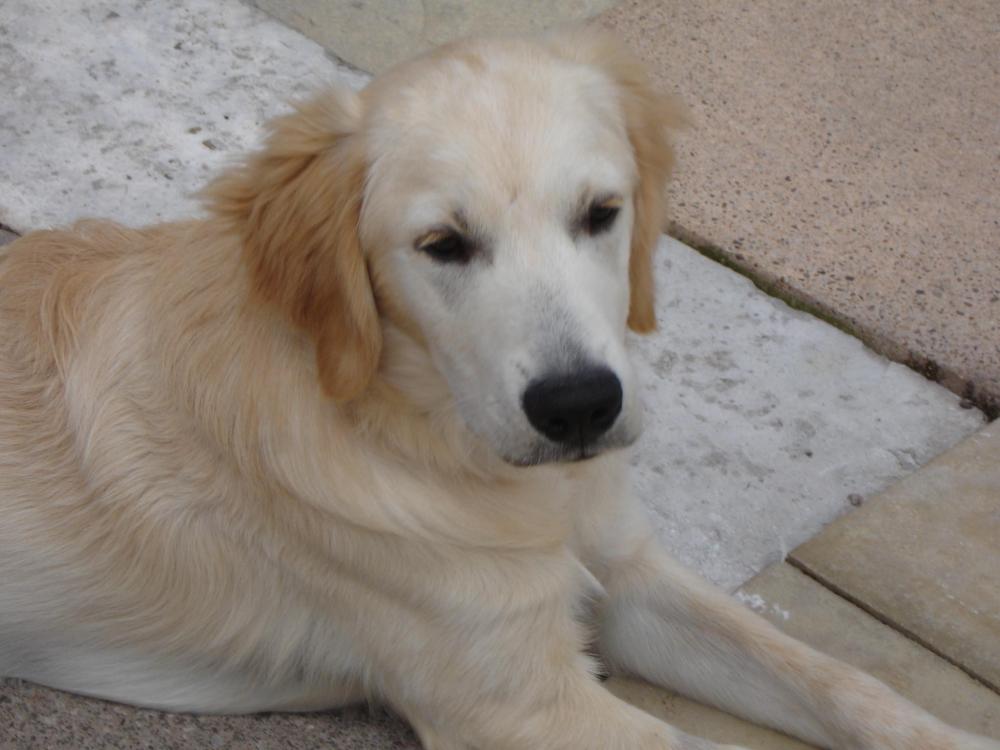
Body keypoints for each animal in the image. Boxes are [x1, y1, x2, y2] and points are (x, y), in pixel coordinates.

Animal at [0, 29, 996, 750]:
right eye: (443, 244)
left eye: (601, 214)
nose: (580, 407)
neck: (437, 436)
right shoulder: (523, 703)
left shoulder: (625, 573)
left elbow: (843, 679)